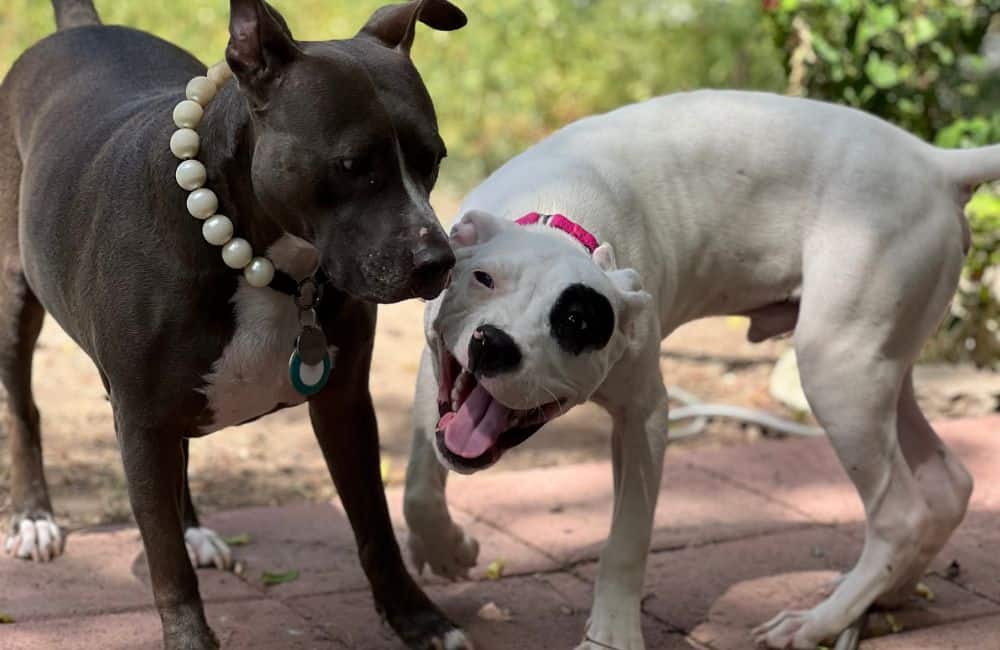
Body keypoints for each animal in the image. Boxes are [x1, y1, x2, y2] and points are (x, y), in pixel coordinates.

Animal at [402, 88, 996, 644]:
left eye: (574, 320)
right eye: (482, 278)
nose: (493, 344)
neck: (561, 220)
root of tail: (935, 163)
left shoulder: (644, 416)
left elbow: (628, 537)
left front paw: (611, 636)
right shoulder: (435, 366)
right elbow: (420, 480)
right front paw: (445, 548)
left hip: (838, 371)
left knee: (901, 514)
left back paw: (818, 622)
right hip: (879, 366)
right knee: (947, 483)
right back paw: (885, 597)